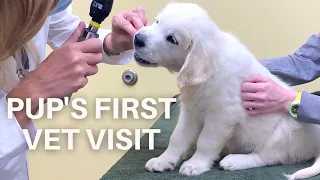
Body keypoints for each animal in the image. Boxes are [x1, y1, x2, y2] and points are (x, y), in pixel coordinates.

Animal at [132, 2, 320, 179]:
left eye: (172, 39)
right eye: (157, 21)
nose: (137, 38)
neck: (209, 71)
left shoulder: (222, 115)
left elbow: (206, 141)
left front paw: (195, 164)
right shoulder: (190, 111)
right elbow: (177, 137)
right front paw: (164, 160)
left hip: (284, 133)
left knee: (268, 157)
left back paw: (235, 160)